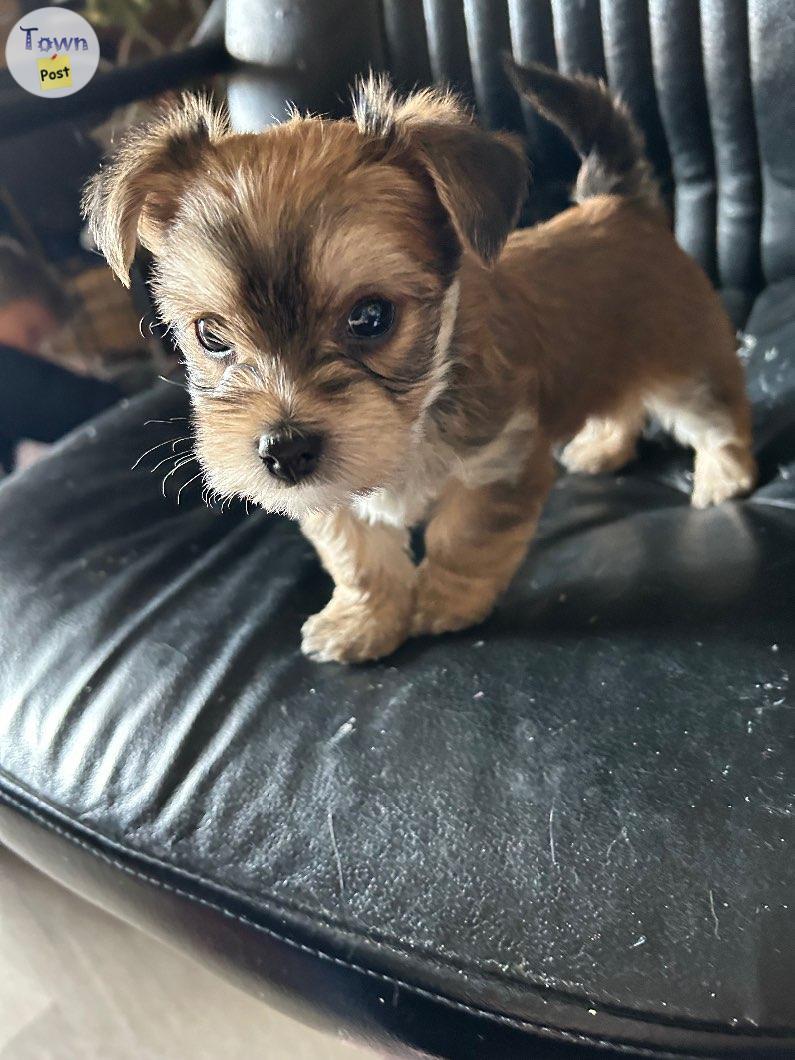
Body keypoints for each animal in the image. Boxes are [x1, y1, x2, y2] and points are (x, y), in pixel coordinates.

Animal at [84, 60, 754, 661]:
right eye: (210, 336)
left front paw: (442, 602)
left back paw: (723, 475)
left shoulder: (501, 461)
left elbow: (464, 537)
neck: (419, 413)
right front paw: (365, 621)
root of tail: (620, 204)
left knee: (714, 415)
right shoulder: (337, 496)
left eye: (371, 317)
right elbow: (358, 557)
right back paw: (604, 446)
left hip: (686, 362)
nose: (286, 451)